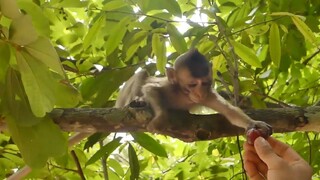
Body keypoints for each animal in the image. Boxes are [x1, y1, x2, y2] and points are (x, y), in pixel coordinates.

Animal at [115, 49, 270, 134]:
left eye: (205, 83)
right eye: (193, 84)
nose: (200, 93)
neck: (183, 95)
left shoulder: (209, 95)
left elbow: (229, 111)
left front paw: (253, 123)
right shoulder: (169, 87)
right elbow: (150, 88)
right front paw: (161, 119)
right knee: (142, 73)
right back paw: (138, 100)